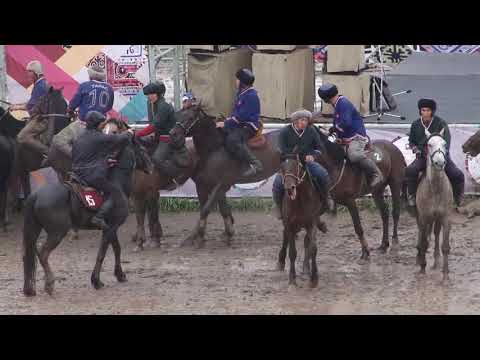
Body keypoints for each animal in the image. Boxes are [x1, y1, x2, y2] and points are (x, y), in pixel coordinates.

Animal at [22, 126, 154, 296]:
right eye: (142, 150)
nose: (151, 167)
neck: (117, 183)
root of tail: (36, 194)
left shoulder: (111, 228)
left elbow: (116, 249)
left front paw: (120, 275)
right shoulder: (111, 228)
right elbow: (102, 253)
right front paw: (96, 281)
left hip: (36, 229)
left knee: (33, 253)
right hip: (57, 232)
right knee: (43, 253)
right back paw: (50, 284)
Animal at [171, 104, 284, 248]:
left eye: (190, 118)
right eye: (178, 115)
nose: (173, 134)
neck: (214, 149)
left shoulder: (222, 184)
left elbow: (207, 209)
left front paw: (201, 235)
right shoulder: (203, 186)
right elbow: (218, 209)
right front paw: (218, 235)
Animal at [278, 154, 322, 286]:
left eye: (296, 165)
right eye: (282, 167)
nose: (289, 188)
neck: (300, 200)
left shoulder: (312, 223)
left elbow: (313, 249)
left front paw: (314, 277)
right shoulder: (290, 225)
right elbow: (292, 252)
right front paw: (292, 277)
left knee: (307, 242)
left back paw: (306, 268)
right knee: (285, 237)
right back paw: (281, 261)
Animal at [316, 126, 408, 258]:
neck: (336, 164)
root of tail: (394, 147)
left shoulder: (350, 201)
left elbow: (358, 227)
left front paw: (365, 251)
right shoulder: (328, 199)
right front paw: (322, 226)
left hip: (395, 183)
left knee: (395, 212)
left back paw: (394, 240)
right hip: (377, 190)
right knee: (384, 213)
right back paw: (384, 244)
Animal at [416, 128, 454, 280]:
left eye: (444, 144)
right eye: (429, 144)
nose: (439, 162)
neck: (435, 189)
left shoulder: (446, 218)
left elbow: (445, 246)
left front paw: (446, 274)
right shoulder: (424, 217)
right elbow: (424, 242)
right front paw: (422, 268)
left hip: (436, 218)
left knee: (436, 234)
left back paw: (437, 259)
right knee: (422, 235)